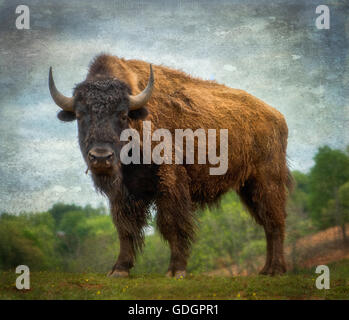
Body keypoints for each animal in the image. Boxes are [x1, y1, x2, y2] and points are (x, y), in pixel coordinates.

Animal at [47, 54, 290, 278]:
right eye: (80, 115)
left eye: (123, 114)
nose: (100, 157)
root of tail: (277, 116)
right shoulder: (122, 193)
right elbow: (125, 228)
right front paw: (119, 270)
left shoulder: (170, 184)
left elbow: (172, 223)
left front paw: (176, 270)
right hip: (247, 187)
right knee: (267, 223)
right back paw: (266, 270)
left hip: (267, 181)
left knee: (275, 221)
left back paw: (275, 270)